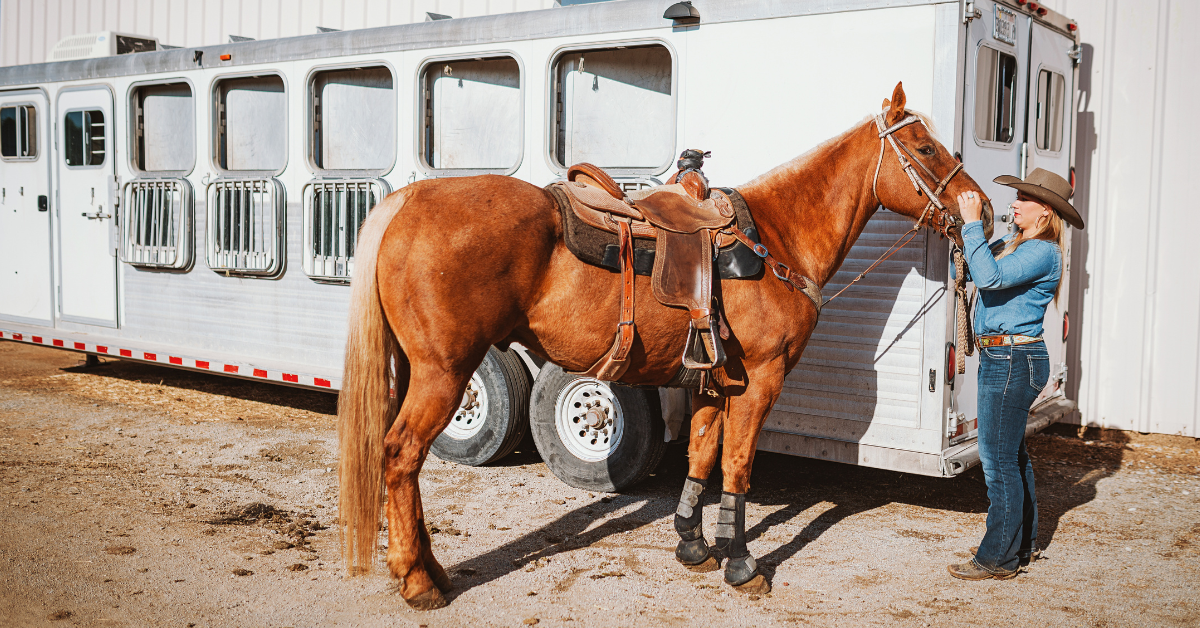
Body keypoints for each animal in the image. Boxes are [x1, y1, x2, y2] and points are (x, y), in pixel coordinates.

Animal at [337, 82, 993, 609]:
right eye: (926, 149)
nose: (982, 209)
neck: (774, 239)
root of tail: (405, 203)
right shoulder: (762, 378)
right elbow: (737, 463)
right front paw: (740, 562)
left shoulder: (712, 380)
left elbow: (701, 454)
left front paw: (694, 544)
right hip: (446, 372)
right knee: (400, 455)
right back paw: (416, 581)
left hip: (417, 369)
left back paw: (432, 569)